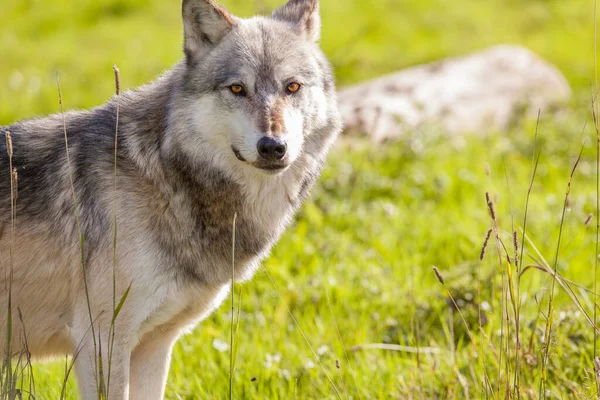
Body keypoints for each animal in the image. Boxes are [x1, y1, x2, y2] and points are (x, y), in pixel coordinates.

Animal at [0, 0, 340, 396]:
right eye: (237, 88)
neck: (163, 176)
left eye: (292, 86)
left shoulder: (156, 344)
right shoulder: (101, 343)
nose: (272, 146)